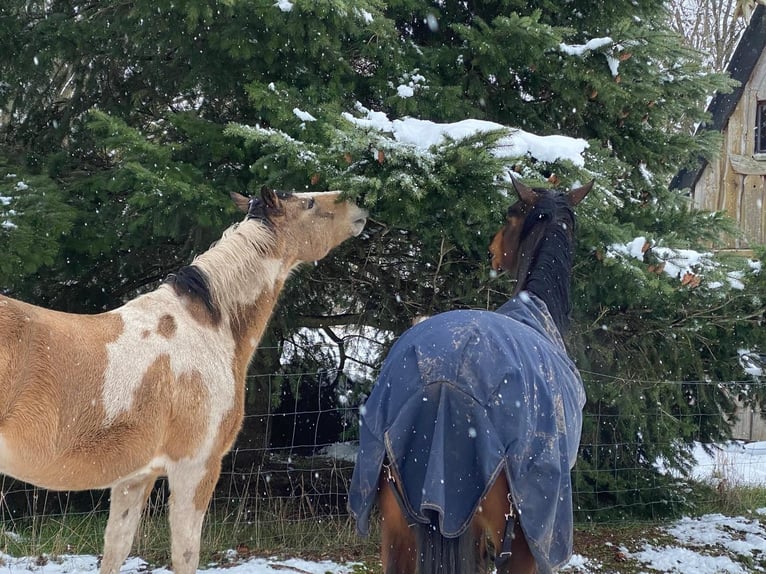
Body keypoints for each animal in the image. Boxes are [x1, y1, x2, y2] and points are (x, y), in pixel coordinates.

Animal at [0, 189, 368, 574]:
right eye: (309, 203)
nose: (358, 204)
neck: (206, 327)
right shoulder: (196, 468)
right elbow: (186, 554)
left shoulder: (136, 476)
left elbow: (116, 548)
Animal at [348, 178, 592, 572]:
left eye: (509, 215)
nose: (492, 250)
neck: (535, 310)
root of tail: (444, 385)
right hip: (517, 541)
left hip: (399, 531)